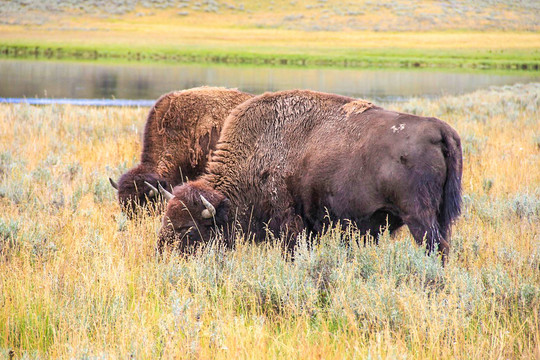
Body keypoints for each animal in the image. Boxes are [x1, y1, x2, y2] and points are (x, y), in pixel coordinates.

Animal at [153, 88, 464, 260]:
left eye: (187, 228)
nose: (161, 255)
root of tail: (439, 128)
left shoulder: (290, 223)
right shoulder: (310, 226)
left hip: (419, 218)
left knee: (435, 248)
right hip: (440, 216)